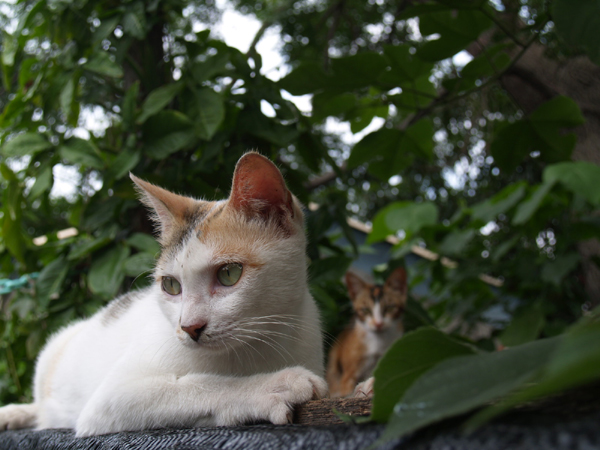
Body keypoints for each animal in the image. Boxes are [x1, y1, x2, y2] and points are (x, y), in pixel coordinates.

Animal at [0, 151, 326, 436]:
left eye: (229, 274)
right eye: (171, 285)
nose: (190, 327)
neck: (257, 345)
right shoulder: (111, 399)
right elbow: (199, 385)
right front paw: (274, 387)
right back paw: (14, 414)